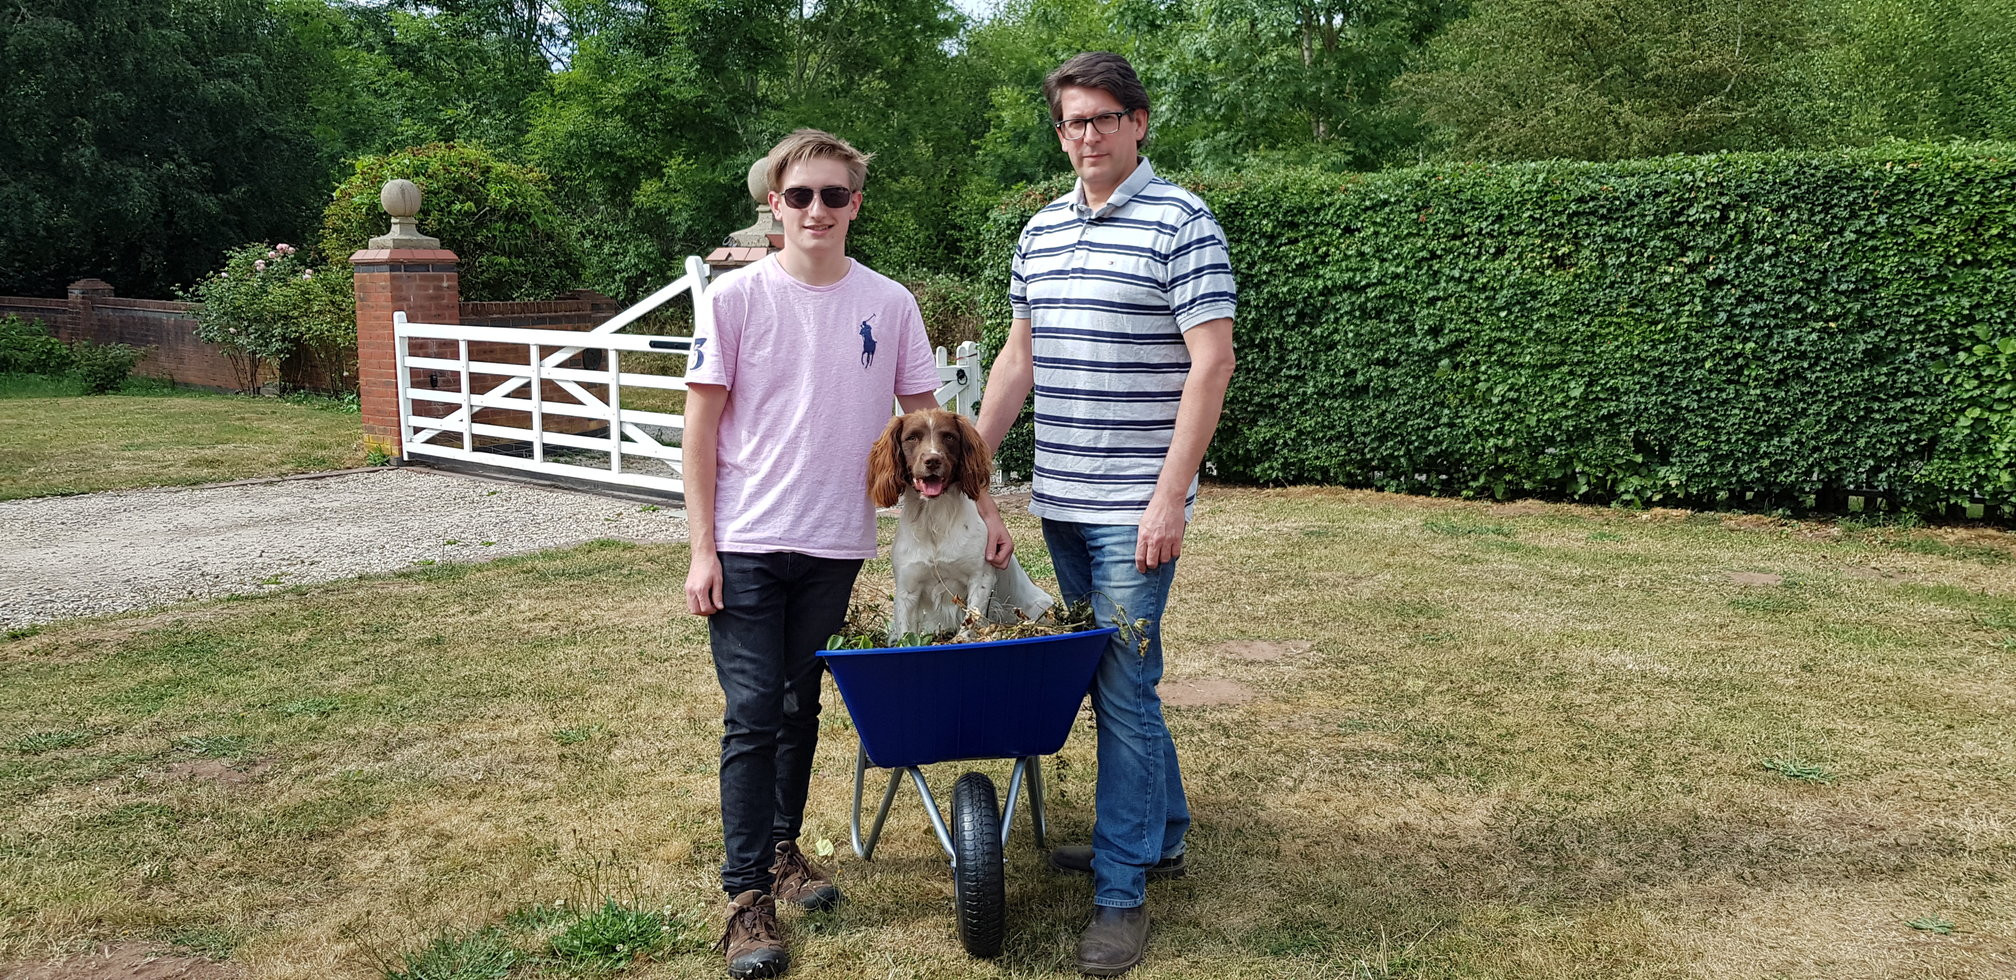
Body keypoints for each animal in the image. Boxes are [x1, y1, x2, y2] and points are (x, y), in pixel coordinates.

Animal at [866, 409, 1056, 641]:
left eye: (949, 436)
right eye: (911, 437)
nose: (932, 460)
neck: (934, 518)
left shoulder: (980, 578)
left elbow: (971, 620)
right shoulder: (907, 588)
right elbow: (905, 635)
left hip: (1040, 606)